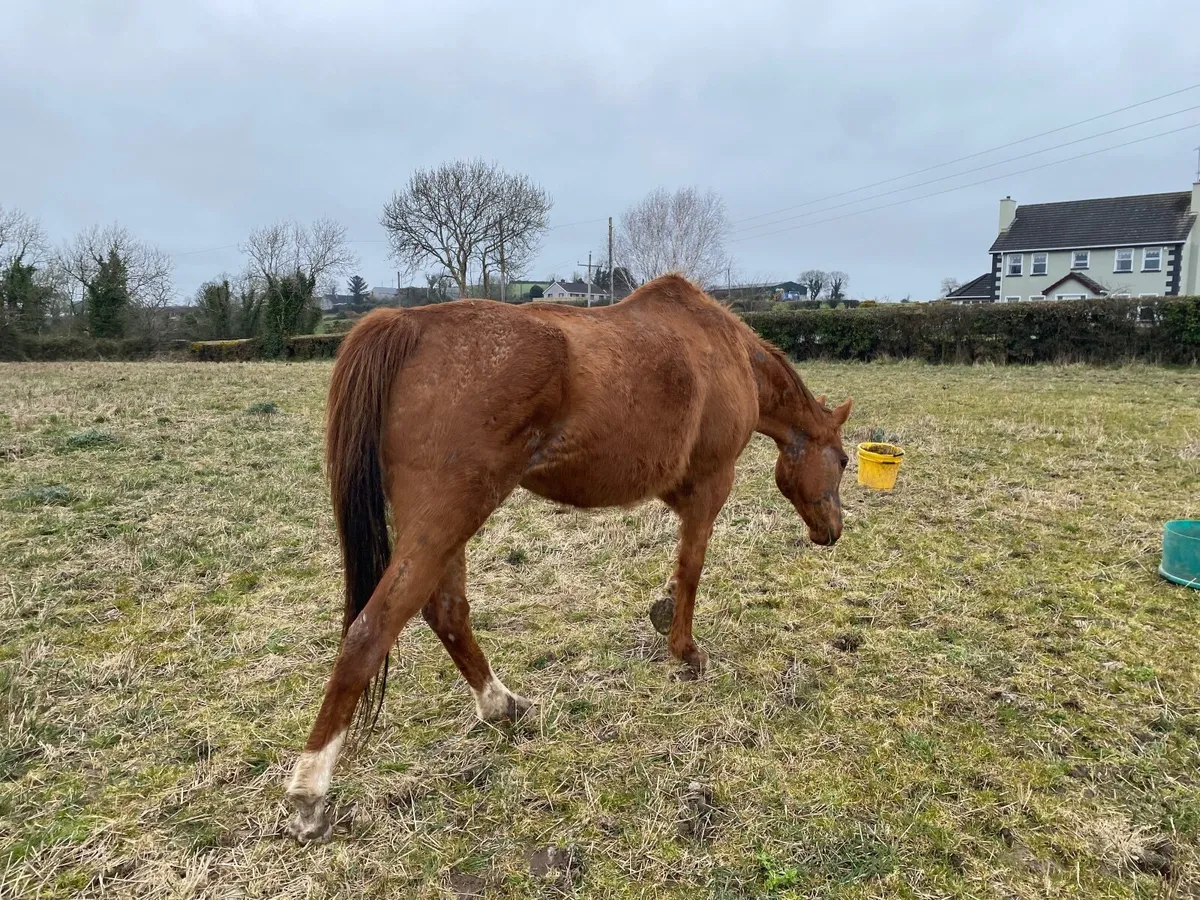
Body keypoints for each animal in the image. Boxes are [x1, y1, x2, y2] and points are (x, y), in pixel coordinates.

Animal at [285, 273, 852, 842]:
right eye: (845, 460)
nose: (832, 531)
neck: (727, 350)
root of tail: (407, 323)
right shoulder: (710, 486)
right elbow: (692, 567)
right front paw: (685, 650)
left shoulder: (677, 488)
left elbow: (678, 568)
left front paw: (663, 609)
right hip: (450, 515)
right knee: (372, 629)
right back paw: (310, 795)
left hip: (444, 525)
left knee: (446, 611)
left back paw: (501, 704)